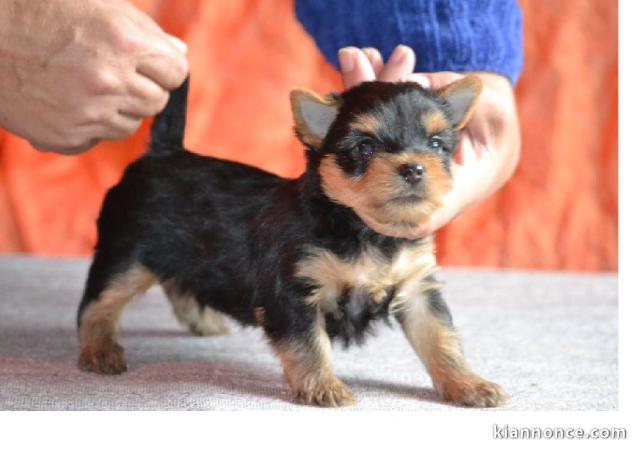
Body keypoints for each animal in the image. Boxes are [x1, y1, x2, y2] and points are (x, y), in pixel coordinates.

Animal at [76, 74, 504, 406]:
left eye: (436, 144)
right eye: (365, 147)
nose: (414, 169)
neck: (362, 228)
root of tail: (163, 154)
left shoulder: (417, 288)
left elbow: (441, 338)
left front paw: (468, 383)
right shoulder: (295, 290)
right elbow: (309, 344)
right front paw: (324, 386)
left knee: (179, 281)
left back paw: (202, 320)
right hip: (128, 251)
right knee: (99, 303)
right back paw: (100, 349)